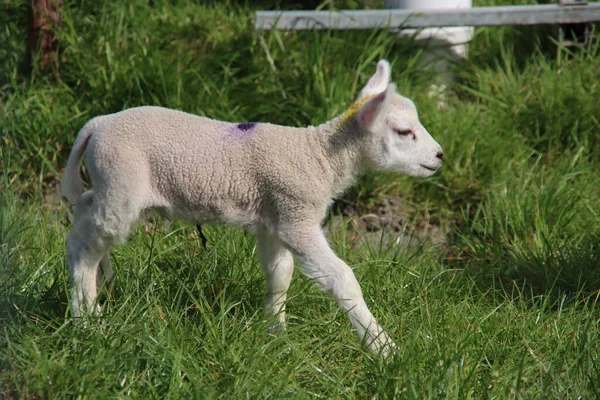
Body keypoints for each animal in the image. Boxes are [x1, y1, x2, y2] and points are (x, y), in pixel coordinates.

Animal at [61, 60, 442, 356]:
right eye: (404, 132)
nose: (439, 156)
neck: (320, 156)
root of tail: (97, 124)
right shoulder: (296, 216)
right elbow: (342, 279)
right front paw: (383, 348)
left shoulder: (275, 218)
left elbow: (280, 273)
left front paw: (275, 332)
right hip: (122, 180)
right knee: (85, 244)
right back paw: (88, 318)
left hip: (114, 186)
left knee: (84, 214)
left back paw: (101, 280)